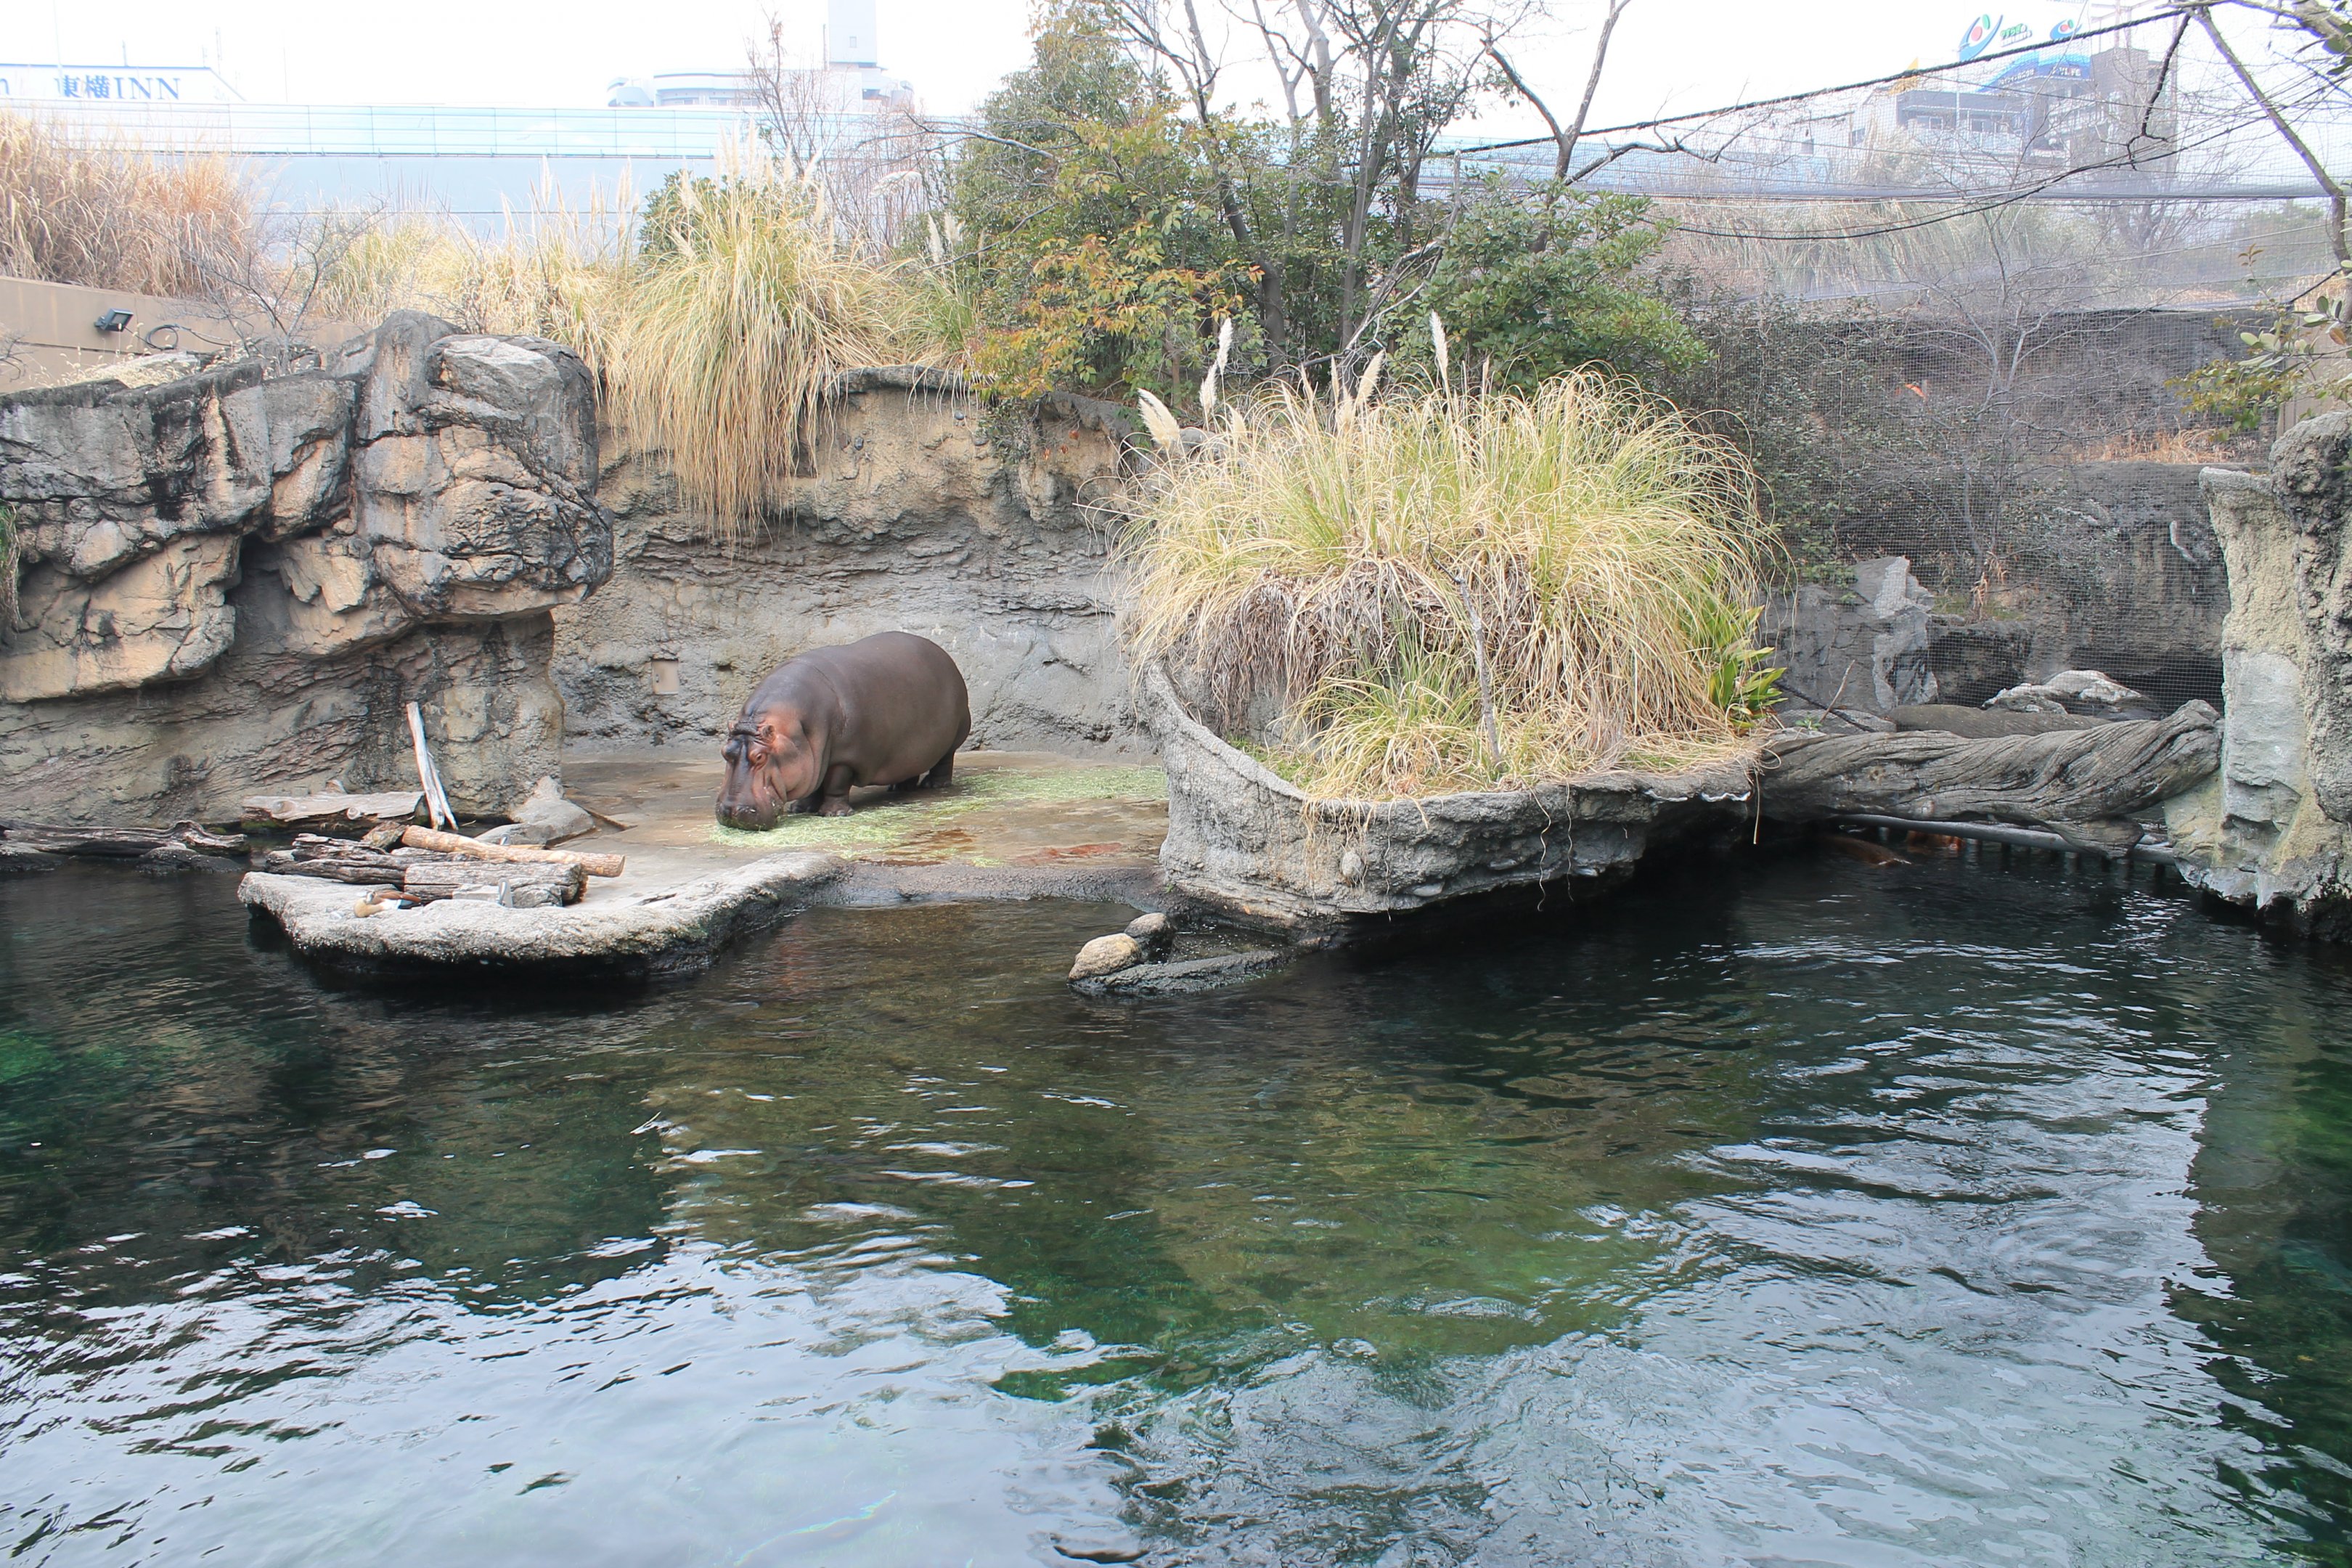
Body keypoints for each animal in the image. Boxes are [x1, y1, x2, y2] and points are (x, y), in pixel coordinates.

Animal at [716, 632, 971, 828]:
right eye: (724, 752)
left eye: (760, 757)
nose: (730, 812)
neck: (795, 730)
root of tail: (945, 656)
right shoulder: (814, 757)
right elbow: (815, 783)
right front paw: (801, 808)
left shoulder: (845, 758)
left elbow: (835, 784)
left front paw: (834, 813)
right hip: (910, 750)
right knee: (910, 767)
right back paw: (898, 787)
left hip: (954, 736)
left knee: (944, 761)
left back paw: (935, 785)